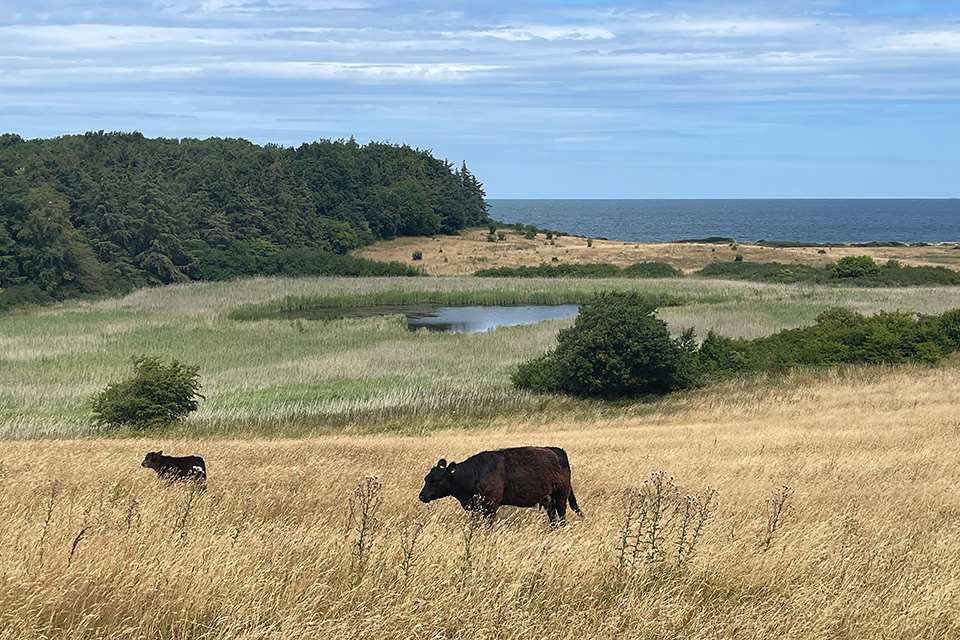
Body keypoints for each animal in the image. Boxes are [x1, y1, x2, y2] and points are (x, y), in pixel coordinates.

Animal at [416, 444, 580, 524]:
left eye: (435, 481)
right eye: (426, 479)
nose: (422, 496)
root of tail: (558, 451)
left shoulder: (491, 505)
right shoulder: (476, 507)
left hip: (560, 497)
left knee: (562, 516)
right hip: (549, 500)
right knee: (552, 517)